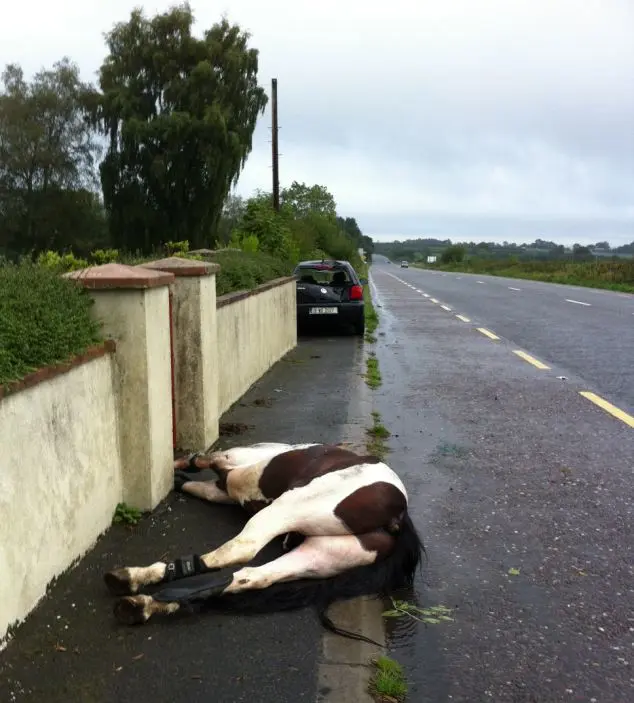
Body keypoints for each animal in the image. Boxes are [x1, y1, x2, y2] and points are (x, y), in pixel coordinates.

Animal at [103, 442, 422, 636]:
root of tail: (399, 515)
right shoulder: (223, 488)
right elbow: (202, 486)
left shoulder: (234, 462)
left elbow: (208, 462)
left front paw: (183, 464)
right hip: (318, 555)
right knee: (250, 576)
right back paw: (146, 600)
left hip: (292, 506)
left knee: (241, 549)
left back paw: (140, 586)